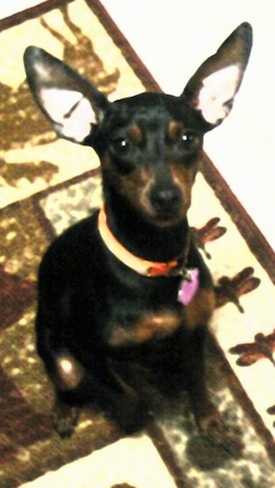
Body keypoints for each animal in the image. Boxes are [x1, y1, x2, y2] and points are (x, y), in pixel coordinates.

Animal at [23, 23, 252, 438]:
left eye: (188, 138)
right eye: (122, 144)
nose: (166, 197)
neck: (153, 258)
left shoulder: (193, 334)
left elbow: (197, 381)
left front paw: (209, 422)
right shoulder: (90, 351)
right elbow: (126, 394)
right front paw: (136, 418)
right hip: (58, 352)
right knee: (66, 382)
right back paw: (65, 411)